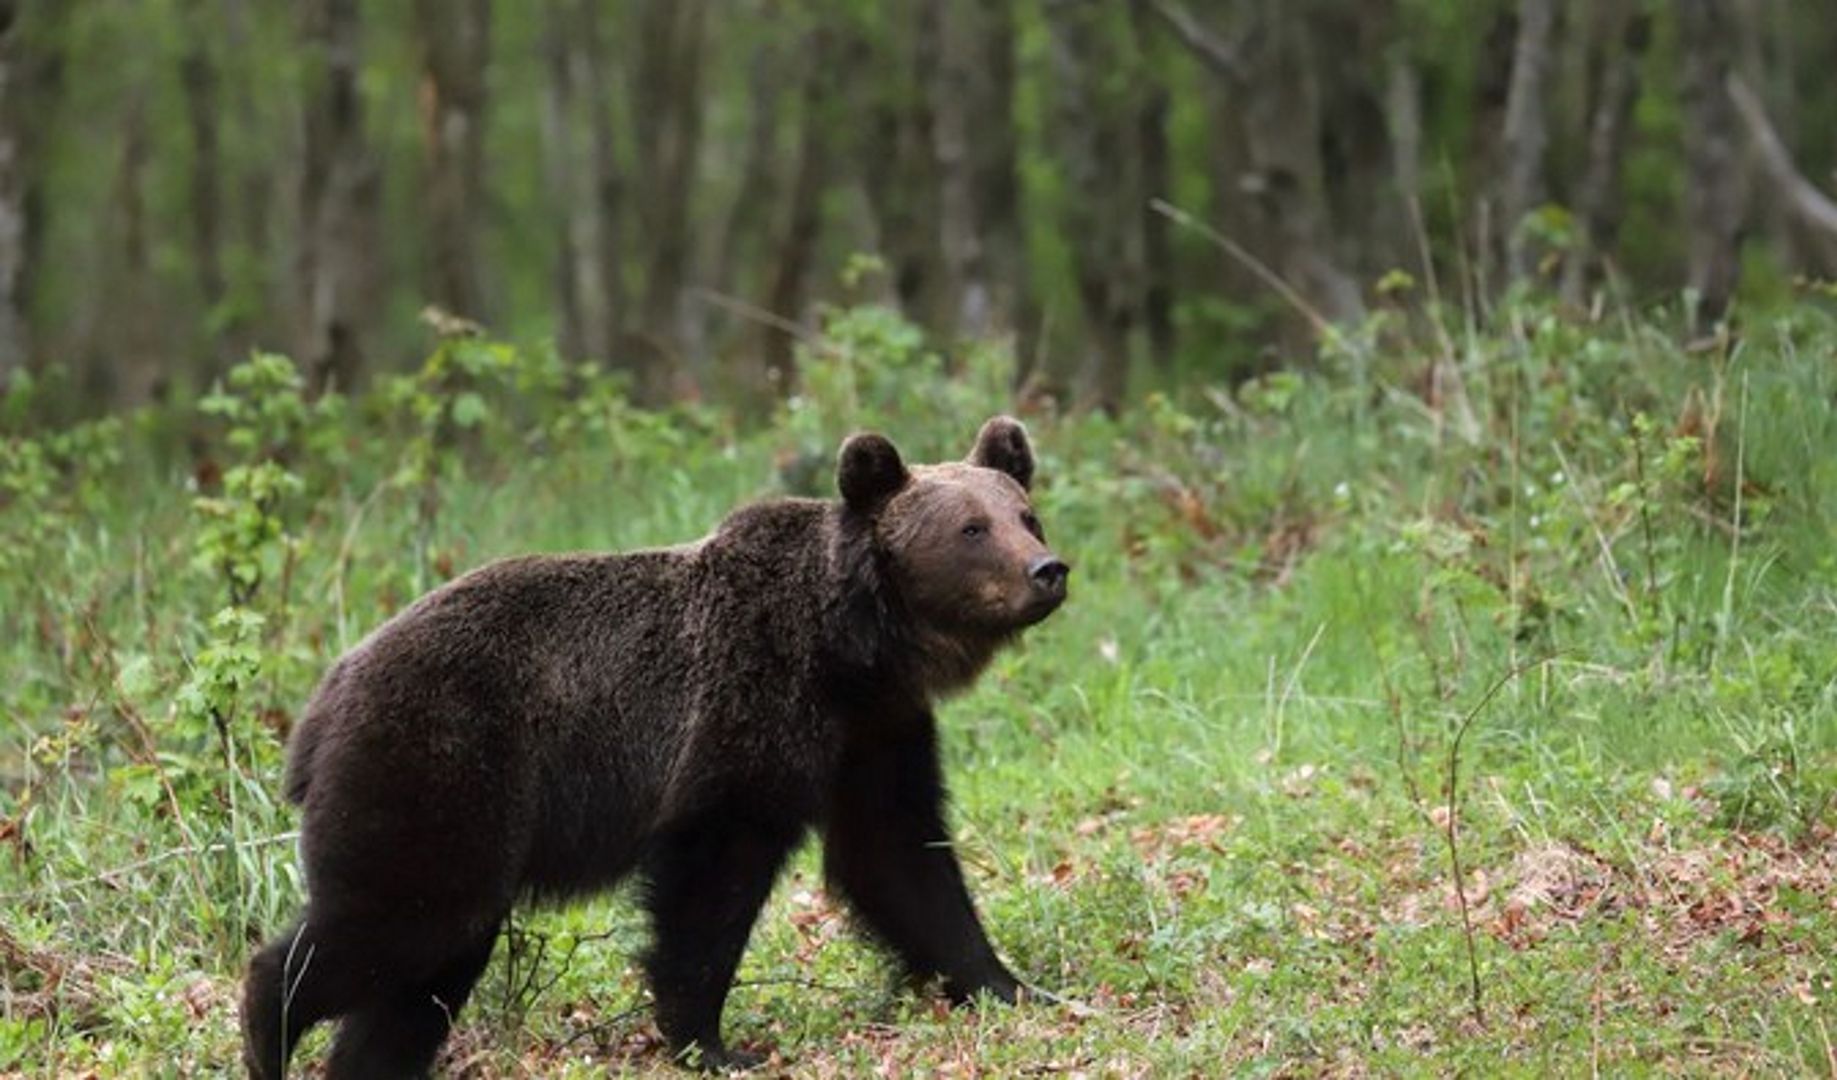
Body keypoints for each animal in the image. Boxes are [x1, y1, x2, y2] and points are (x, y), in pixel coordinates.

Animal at [244, 415, 1072, 1080]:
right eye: (970, 529)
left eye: (1024, 514)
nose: (1047, 569)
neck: (852, 647)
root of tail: (319, 706)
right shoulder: (747, 711)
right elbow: (710, 879)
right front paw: (712, 1042)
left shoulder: (873, 733)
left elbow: (900, 858)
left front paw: (1011, 985)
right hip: (437, 764)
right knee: (403, 916)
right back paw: (266, 1019)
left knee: (426, 971)